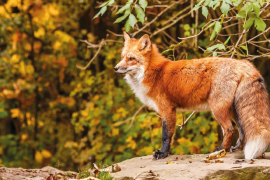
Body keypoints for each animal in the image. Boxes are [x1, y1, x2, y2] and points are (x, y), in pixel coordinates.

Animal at [115, 31, 270, 160]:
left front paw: (163, 153)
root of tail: (244, 63)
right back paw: (234, 148)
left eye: (131, 58)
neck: (153, 73)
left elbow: (166, 136)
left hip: (218, 108)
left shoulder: (167, 110)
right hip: (234, 109)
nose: (116, 68)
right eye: (122, 57)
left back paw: (220, 150)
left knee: (229, 129)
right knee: (242, 131)